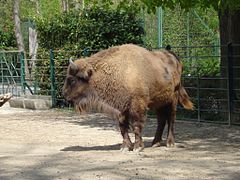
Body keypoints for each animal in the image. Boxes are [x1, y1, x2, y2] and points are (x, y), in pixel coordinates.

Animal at [62, 44, 193, 152]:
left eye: (72, 79)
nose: (64, 94)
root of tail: (173, 56)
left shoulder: (137, 105)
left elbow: (136, 125)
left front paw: (137, 147)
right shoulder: (121, 108)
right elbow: (123, 127)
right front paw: (125, 147)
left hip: (172, 100)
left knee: (171, 119)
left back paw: (170, 143)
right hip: (159, 102)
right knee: (161, 120)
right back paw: (155, 142)